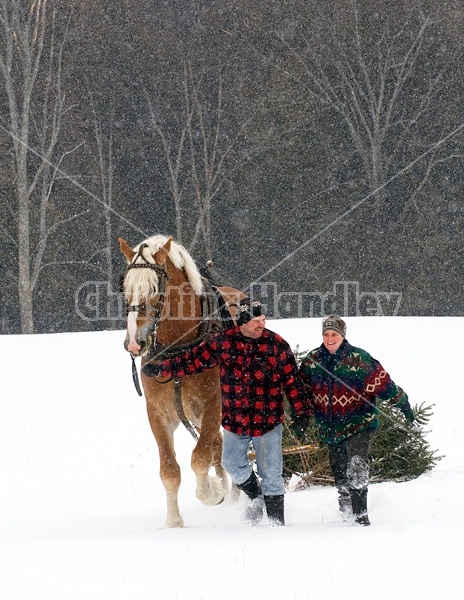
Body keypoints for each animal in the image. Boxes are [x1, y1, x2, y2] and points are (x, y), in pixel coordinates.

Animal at [118, 234, 243, 524]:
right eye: (125, 287)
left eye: (155, 288)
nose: (134, 343)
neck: (178, 350)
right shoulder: (158, 414)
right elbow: (170, 470)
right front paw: (174, 521)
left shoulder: (213, 405)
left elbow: (200, 458)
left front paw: (212, 492)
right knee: (218, 448)